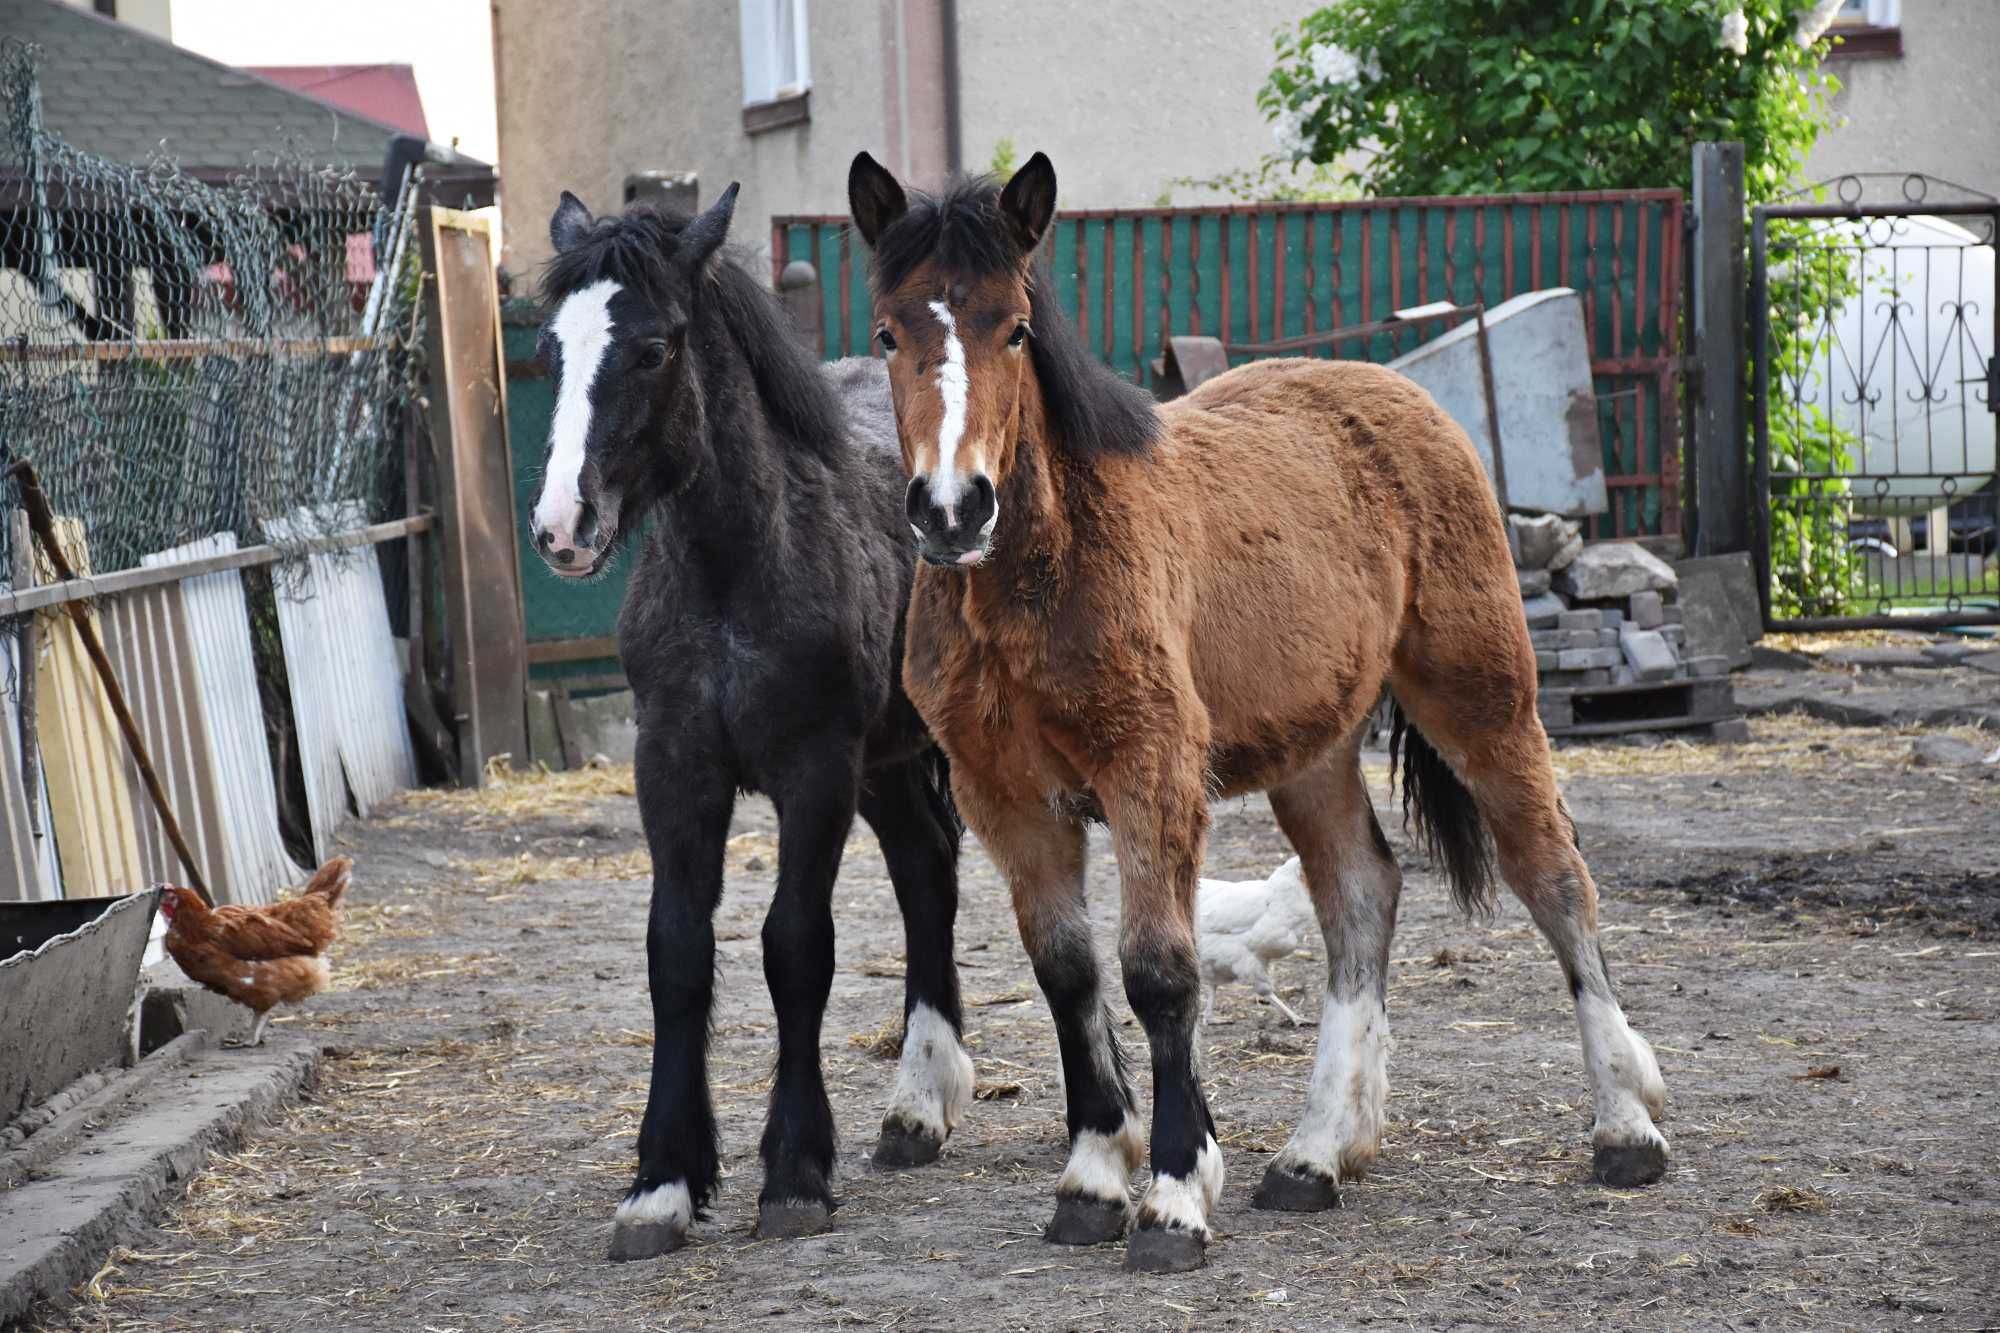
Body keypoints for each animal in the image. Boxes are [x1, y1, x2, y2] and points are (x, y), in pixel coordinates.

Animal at [528, 182, 972, 1248]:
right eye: (552, 349)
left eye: (654, 348)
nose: (564, 526)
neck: (736, 567)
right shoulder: (674, 768)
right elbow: (677, 951)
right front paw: (662, 1181)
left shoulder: (815, 770)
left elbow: (794, 946)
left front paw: (796, 1172)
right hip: (885, 765)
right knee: (926, 870)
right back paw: (915, 1109)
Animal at [848, 150, 1672, 1272]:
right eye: (888, 332)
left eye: (1013, 327)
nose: (950, 508)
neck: (1036, 574)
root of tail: (1404, 394)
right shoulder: (1002, 795)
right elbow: (1066, 972)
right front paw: (1094, 1176)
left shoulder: (1149, 767)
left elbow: (1158, 970)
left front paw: (1170, 1198)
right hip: (1312, 746)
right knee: (1359, 892)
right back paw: (1317, 1152)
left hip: (1483, 699)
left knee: (1554, 879)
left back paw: (1624, 1123)